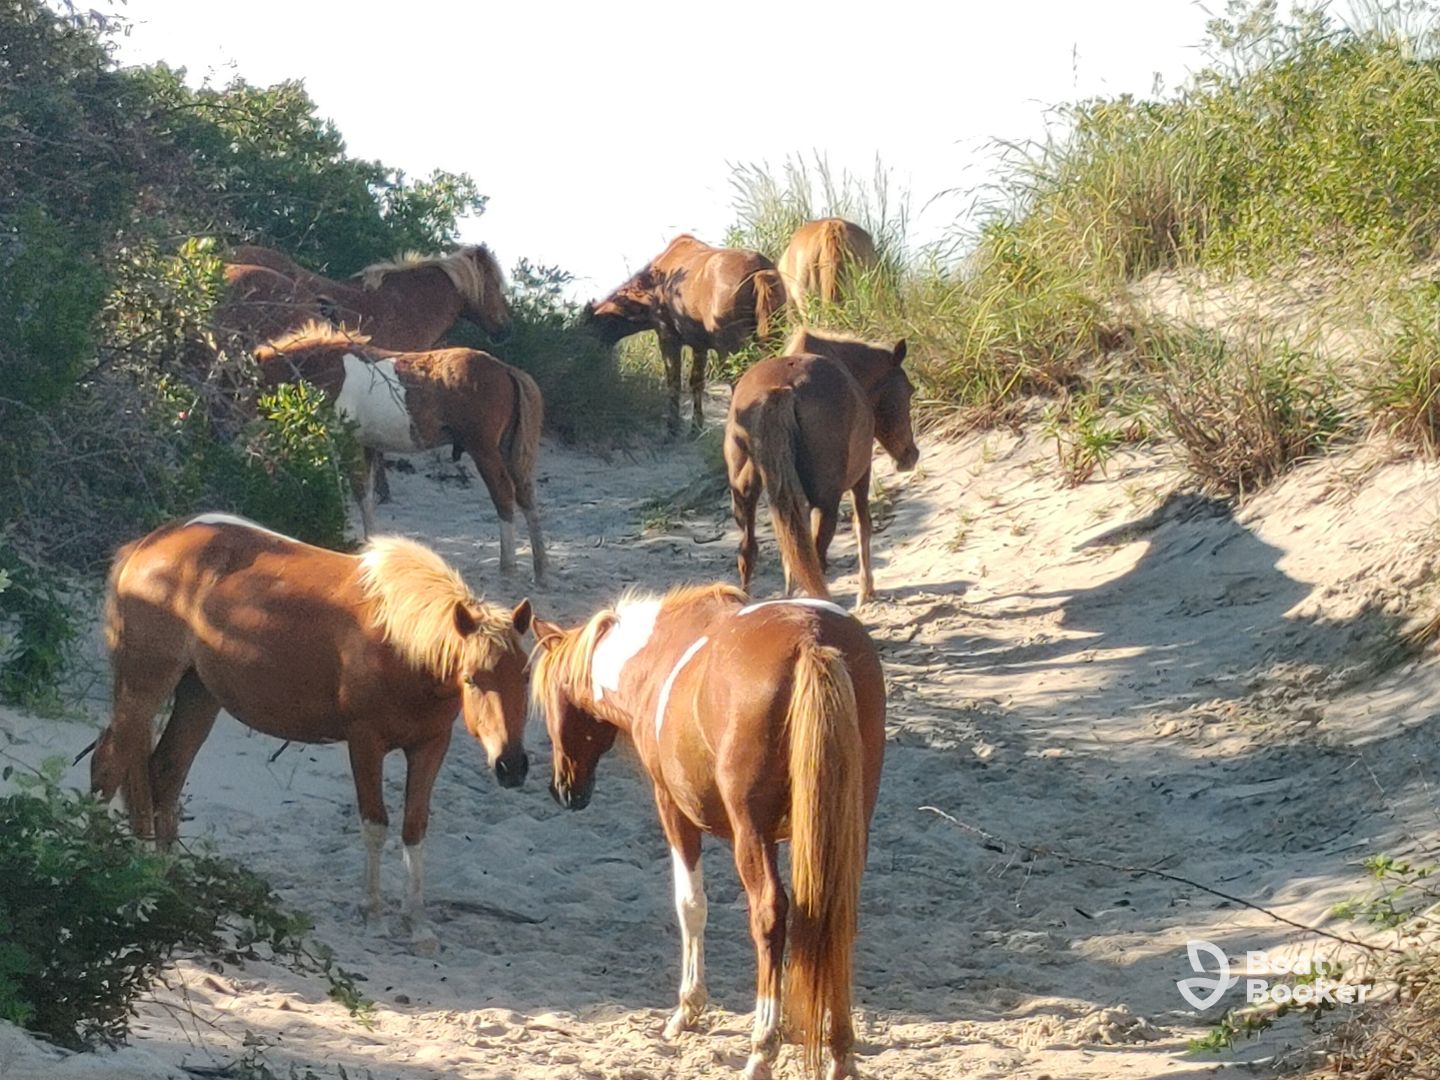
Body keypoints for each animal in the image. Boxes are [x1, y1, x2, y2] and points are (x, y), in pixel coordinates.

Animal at [90, 513, 534, 950]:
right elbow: (375, 823)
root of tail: (145, 545)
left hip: (198, 695)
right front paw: (374, 917)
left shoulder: (430, 746)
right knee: (108, 766)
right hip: (143, 690)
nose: (512, 766)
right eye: (472, 679)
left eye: (526, 677)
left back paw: (165, 882)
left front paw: (418, 925)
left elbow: (414, 828)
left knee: (164, 772)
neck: (400, 641)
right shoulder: (365, 742)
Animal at [254, 324, 548, 582]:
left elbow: (359, 492)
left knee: (503, 494)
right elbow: (367, 495)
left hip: (484, 451)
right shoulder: (367, 446)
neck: (327, 367)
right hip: (508, 450)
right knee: (526, 495)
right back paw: (540, 570)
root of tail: (506, 369)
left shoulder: (348, 442)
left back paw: (508, 564)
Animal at [531, 585, 885, 1080]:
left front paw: (688, 1008)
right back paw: (840, 1051)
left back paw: (761, 1048)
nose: (564, 789)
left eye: (553, 701)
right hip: (848, 823)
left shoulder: (672, 807)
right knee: (837, 913)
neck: (654, 658)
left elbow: (690, 905)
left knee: (769, 913)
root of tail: (812, 639)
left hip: (751, 833)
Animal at [584, 234, 786, 436]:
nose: (592, 356)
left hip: (730, 345)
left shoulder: (667, 336)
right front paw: (695, 428)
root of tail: (760, 273)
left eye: (590, 325)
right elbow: (696, 382)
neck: (651, 288)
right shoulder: (699, 345)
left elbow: (674, 382)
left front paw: (672, 427)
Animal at [725, 329, 919, 606]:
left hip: (744, 499)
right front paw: (866, 591)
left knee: (749, 551)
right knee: (817, 559)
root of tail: (781, 390)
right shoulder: (861, 477)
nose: (910, 455)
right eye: (909, 391)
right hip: (827, 501)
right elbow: (863, 525)